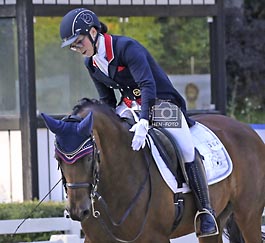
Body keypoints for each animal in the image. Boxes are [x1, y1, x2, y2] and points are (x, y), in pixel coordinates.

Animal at [41, 98, 264, 242]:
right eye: (58, 159)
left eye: (88, 157)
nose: (78, 211)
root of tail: (247, 129)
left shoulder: (156, 237)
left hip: (248, 216)